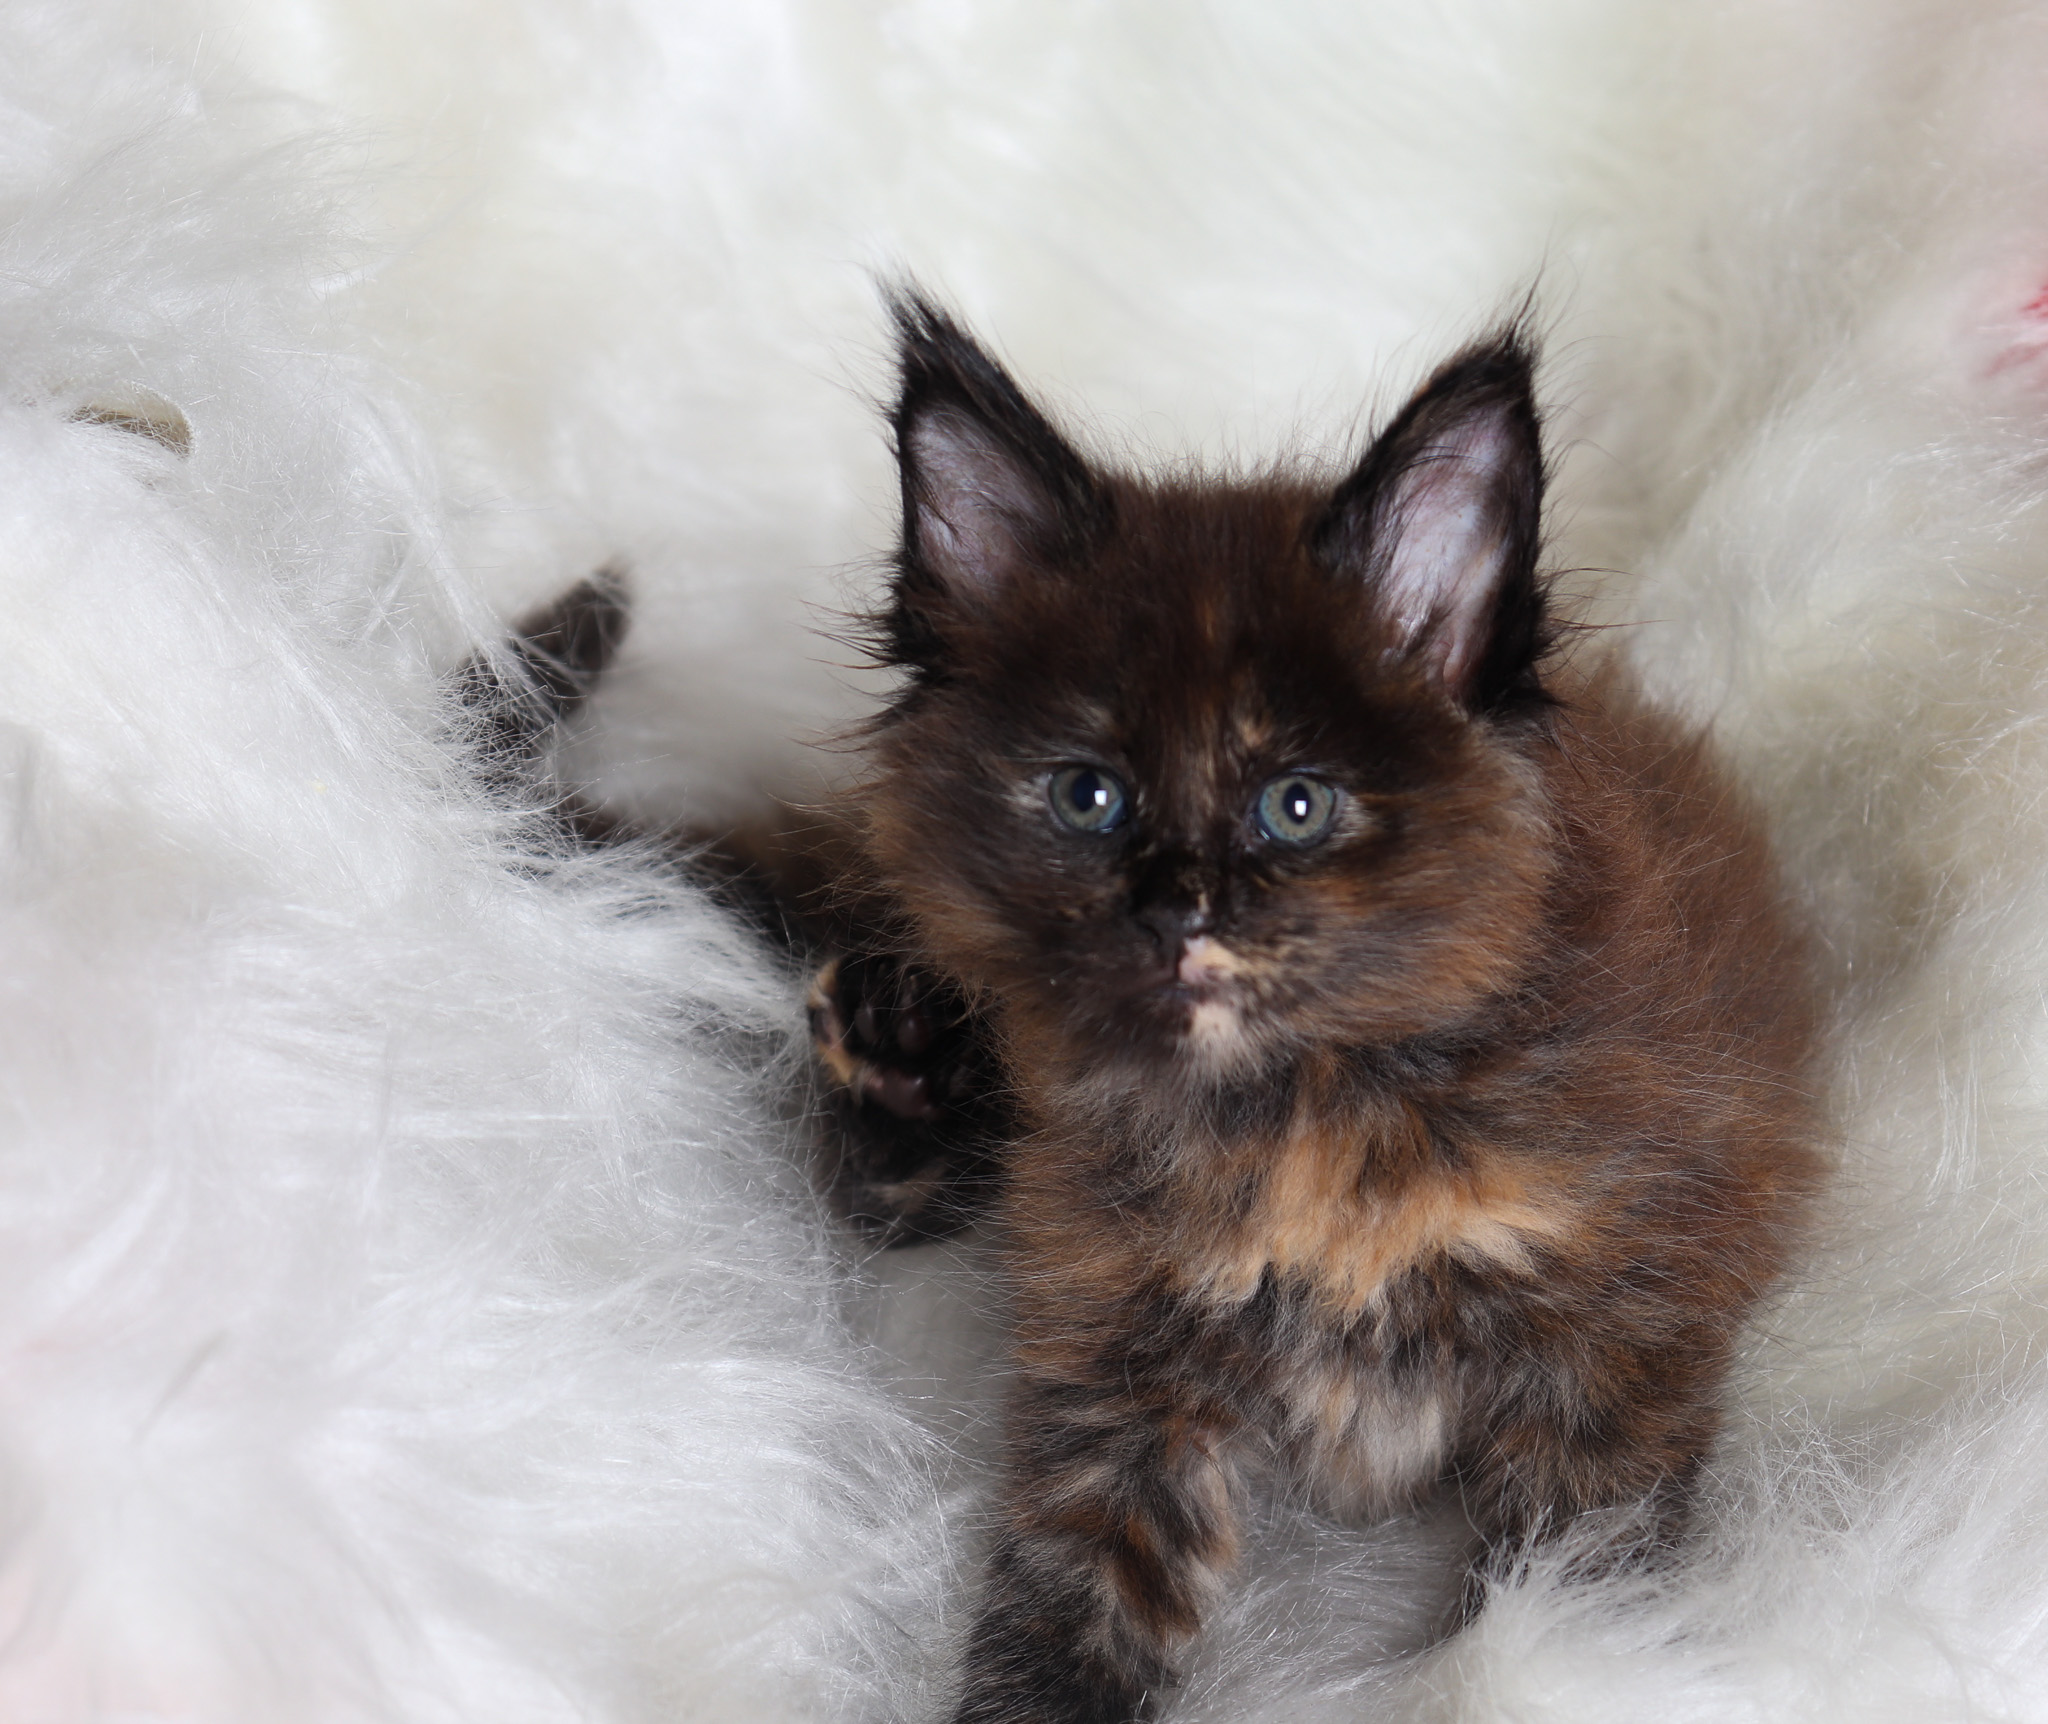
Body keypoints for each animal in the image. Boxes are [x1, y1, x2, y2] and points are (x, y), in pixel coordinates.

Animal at [811, 291, 1825, 1724]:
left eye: (1294, 805)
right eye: (1086, 796)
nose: (1174, 910)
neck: (1300, 1121)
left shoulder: (1614, 1333)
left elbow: (1567, 1585)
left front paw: (1530, 1668)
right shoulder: (1112, 1356)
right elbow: (1063, 1605)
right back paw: (889, 1044)